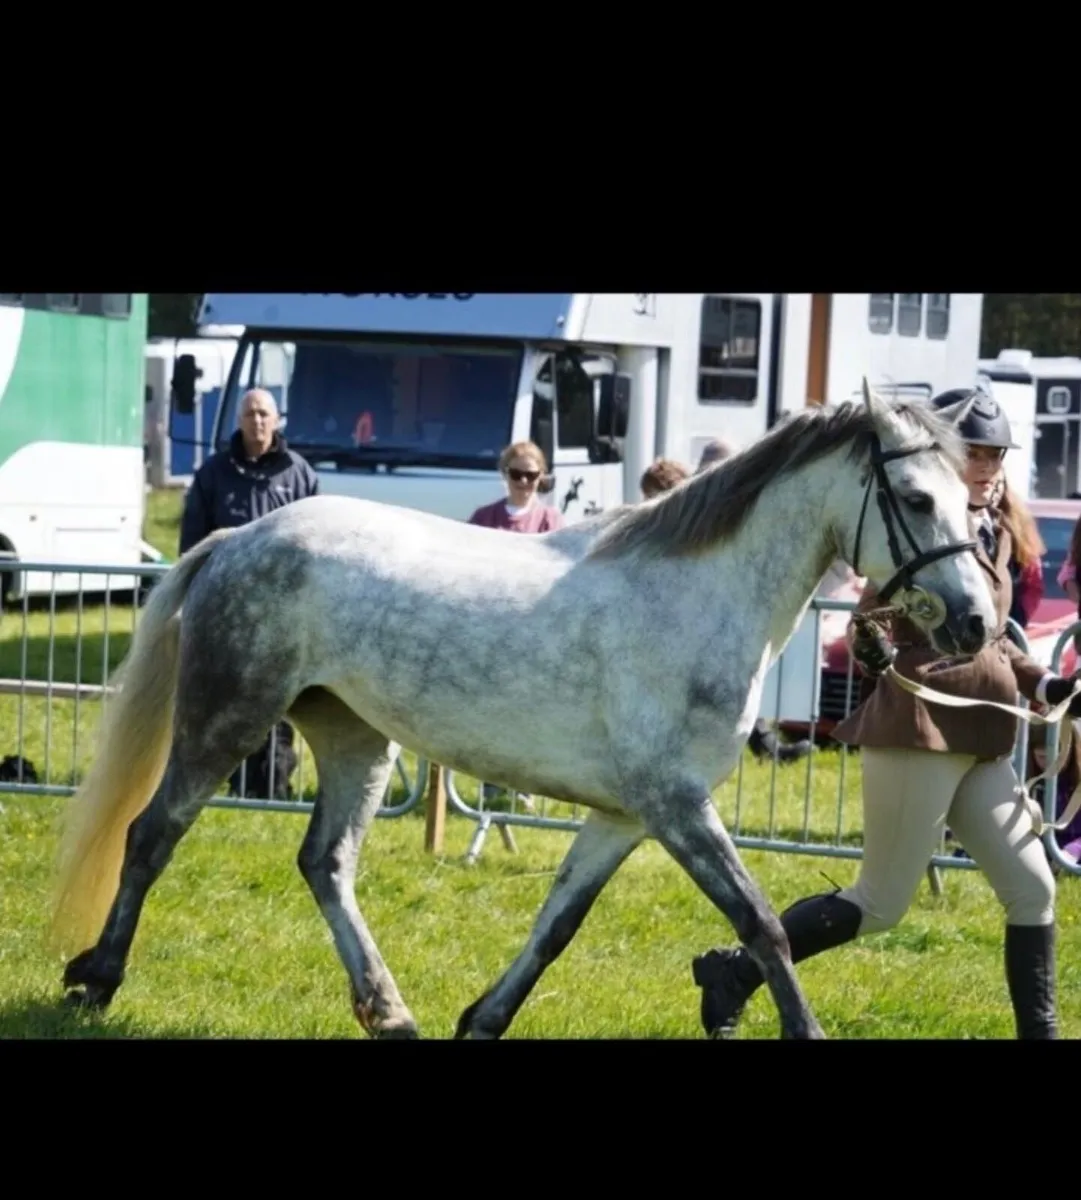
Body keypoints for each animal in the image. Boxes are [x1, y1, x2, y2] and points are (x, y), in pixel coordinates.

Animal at [49, 380, 995, 1040]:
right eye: (917, 499)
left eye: (973, 504)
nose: (976, 623)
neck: (695, 596)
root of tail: (237, 539)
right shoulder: (676, 806)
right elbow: (761, 924)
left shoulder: (625, 816)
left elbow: (556, 926)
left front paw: (480, 1020)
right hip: (227, 719)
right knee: (151, 834)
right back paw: (96, 980)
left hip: (357, 740)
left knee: (325, 863)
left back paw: (389, 1011)